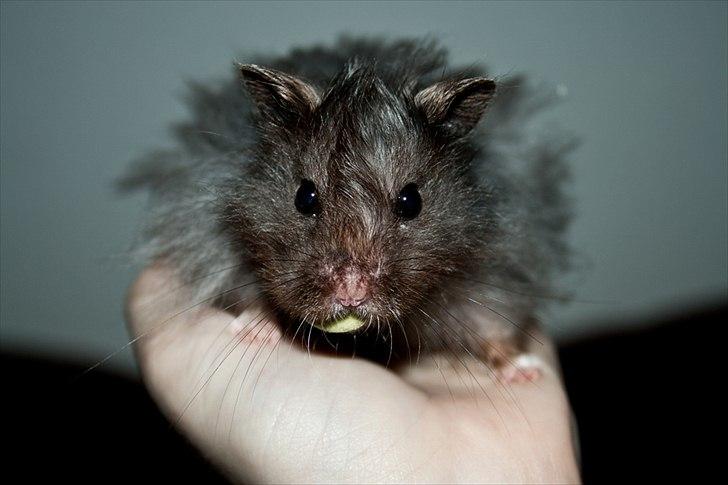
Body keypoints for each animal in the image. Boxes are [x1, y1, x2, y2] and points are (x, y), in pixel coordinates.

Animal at [121, 37, 573, 379]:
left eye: (411, 201)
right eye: (304, 196)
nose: (351, 292)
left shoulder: (495, 265)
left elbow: (492, 328)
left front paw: (522, 371)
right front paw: (255, 329)